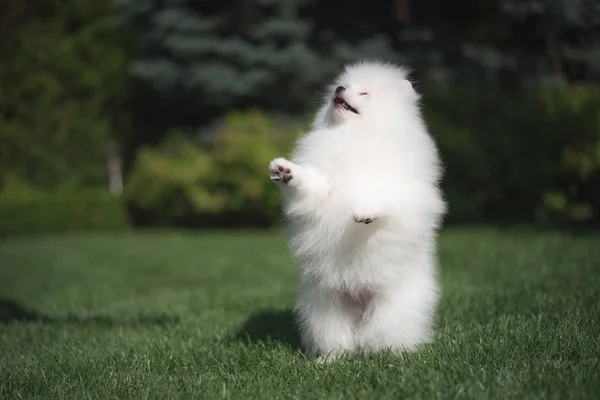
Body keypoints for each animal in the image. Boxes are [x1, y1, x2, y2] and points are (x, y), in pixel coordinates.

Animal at [268, 59, 446, 360]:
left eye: (364, 94)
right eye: (346, 85)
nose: (339, 88)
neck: (353, 135)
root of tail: (360, 302)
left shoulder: (402, 187)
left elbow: (381, 194)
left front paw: (365, 211)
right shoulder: (322, 185)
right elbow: (311, 185)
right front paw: (286, 171)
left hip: (392, 309)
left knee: (384, 336)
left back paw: (393, 356)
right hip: (325, 310)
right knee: (338, 341)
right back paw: (329, 360)